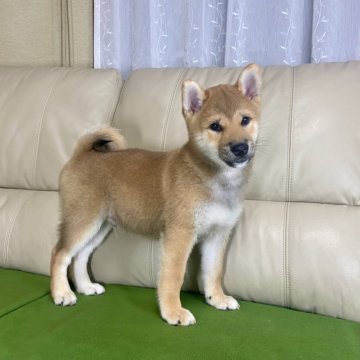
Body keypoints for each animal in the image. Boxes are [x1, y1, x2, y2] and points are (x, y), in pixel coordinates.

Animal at [50, 64, 262, 326]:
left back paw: (85, 287)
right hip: (83, 220)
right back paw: (61, 293)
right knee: (60, 253)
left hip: (100, 225)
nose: (240, 147)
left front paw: (217, 298)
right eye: (215, 126)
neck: (212, 178)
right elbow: (173, 277)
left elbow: (214, 272)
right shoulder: (180, 234)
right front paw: (173, 312)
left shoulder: (217, 234)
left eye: (245, 120)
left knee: (80, 256)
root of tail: (82, 154)